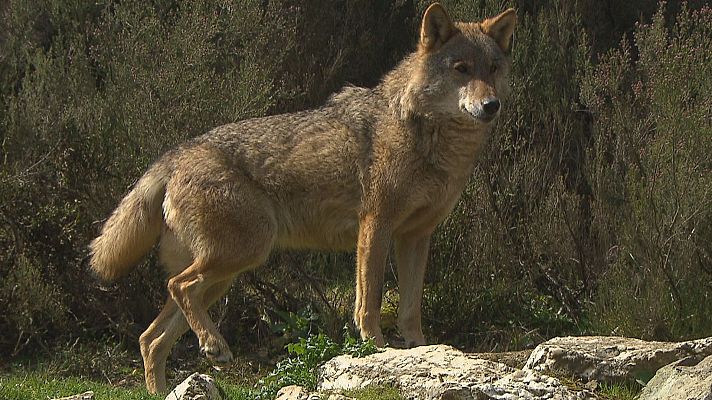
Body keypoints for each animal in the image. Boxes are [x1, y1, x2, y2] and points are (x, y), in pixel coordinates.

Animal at [89, 3, 516, 393]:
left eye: (493, 69)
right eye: (461, 69)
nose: (491, 105)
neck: (432, 140)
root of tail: (177, 152)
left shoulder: (416, 236)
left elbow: (411, 310)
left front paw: (421, 352)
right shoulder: (376, 226)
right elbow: (370, 301)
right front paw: (377, 349)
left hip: (225, 275)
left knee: (151, 337)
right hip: (240, 255)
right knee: (177, 287)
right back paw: (215, 345)